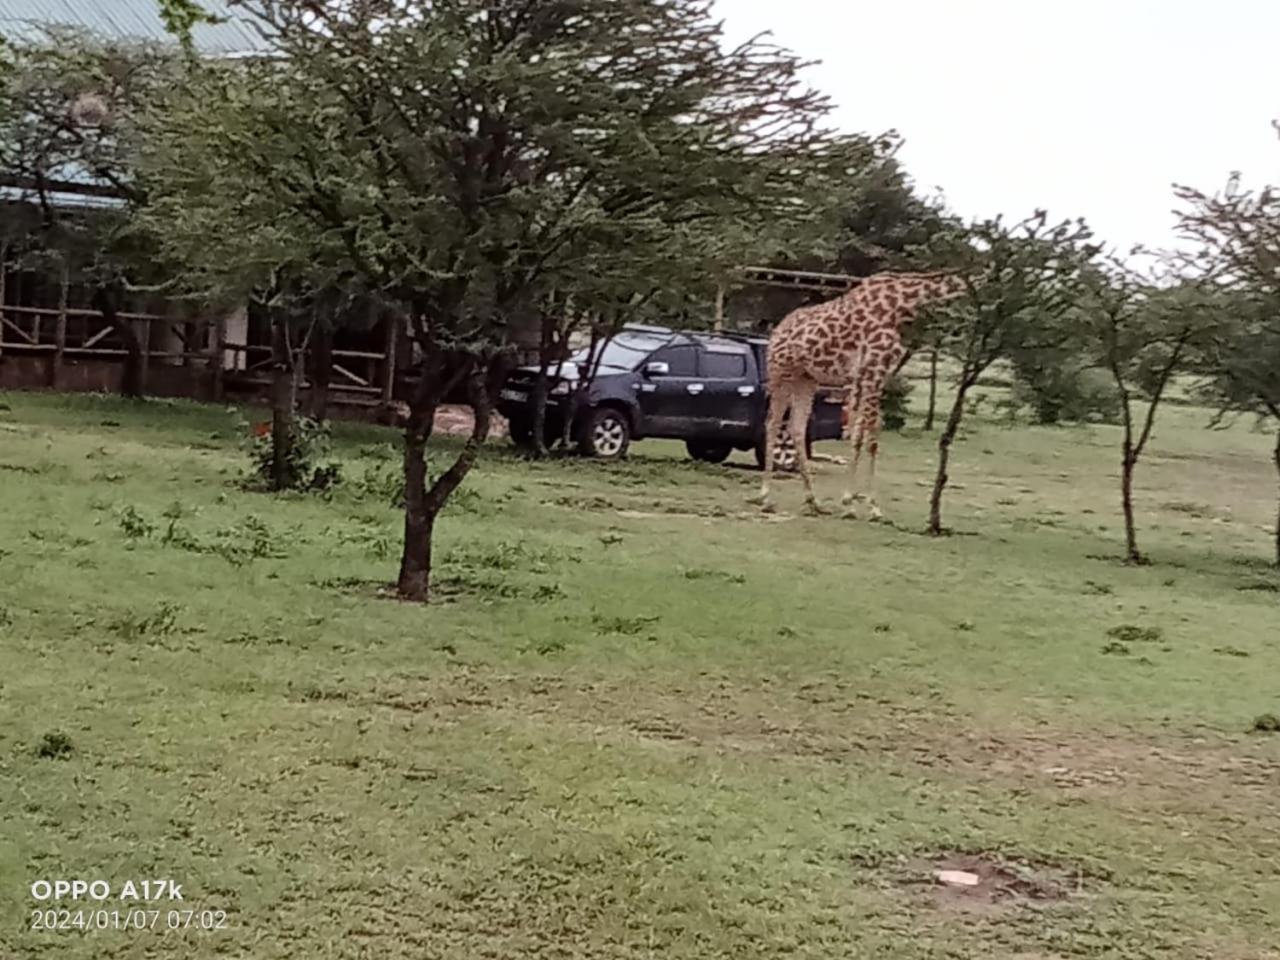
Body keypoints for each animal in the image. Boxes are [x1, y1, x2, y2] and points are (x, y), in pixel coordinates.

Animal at [747, 272, 967, 519]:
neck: (903, 304)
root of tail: (776, 330)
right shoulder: (873, 372)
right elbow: (871, 437)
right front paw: (871, 507)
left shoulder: (869, 377)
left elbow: (859, 436)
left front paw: (849, 502)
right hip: (781, 372)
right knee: (773, 423)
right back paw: (766, 497)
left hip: (806, 379)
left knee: (796, 427)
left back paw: (814, 501)